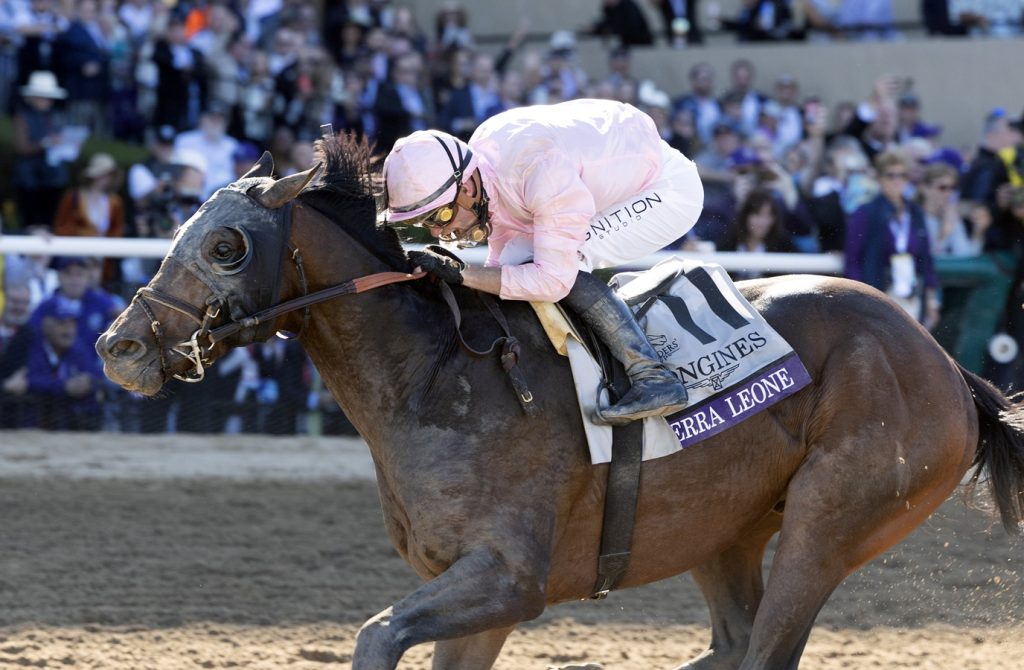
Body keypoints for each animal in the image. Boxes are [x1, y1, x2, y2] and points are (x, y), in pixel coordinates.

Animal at [97, 136, 1024, 670]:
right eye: (177, 229)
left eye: (225, 245)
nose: (120, 347)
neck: (438, 379)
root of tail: (946, 365)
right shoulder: (469, 595)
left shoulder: (510, 579)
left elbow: (374, 635)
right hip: (723, 529)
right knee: (730, 645)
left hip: (830, 524)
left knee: (765, 648)